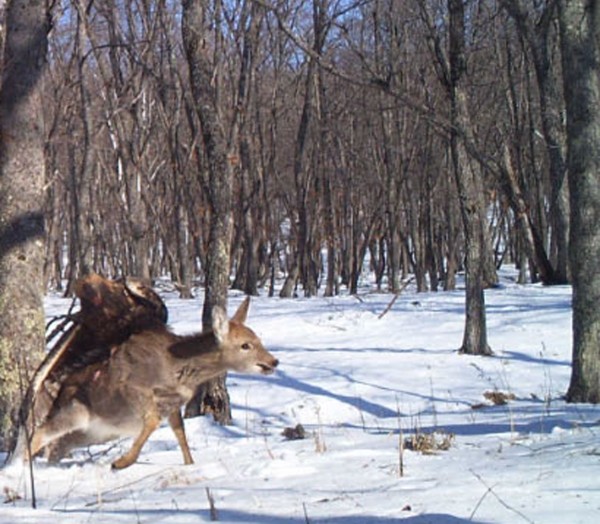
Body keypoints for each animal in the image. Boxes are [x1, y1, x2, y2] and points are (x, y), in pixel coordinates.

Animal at [22, 294, 278, 470]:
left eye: (258, 338)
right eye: (245, 345)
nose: (273, 361)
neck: (177, 368)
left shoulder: (173, 403)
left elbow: (180, 433)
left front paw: (190, 464)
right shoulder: (133, 387)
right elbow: (153, 420)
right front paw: (121, 462)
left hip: (94, 432)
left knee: (56, 448)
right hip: (75, 411)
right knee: (40, 433)